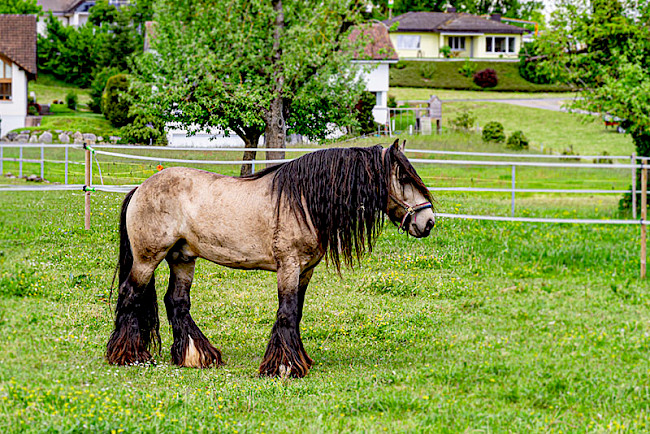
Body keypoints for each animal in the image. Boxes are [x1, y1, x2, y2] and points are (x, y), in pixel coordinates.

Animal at [107, 140, 436, 376]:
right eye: (403, 178)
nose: (429, 222)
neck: (302, 201)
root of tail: (140, 188)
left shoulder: (305, 271)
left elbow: (296, 313)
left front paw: (298, 360)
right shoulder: (288, 267)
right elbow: (287, 312)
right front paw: (284, 366)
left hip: (183, 258)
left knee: (177, 302)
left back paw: (196, 356)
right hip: (147, 259)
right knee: (130, 295)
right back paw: (129, 356)